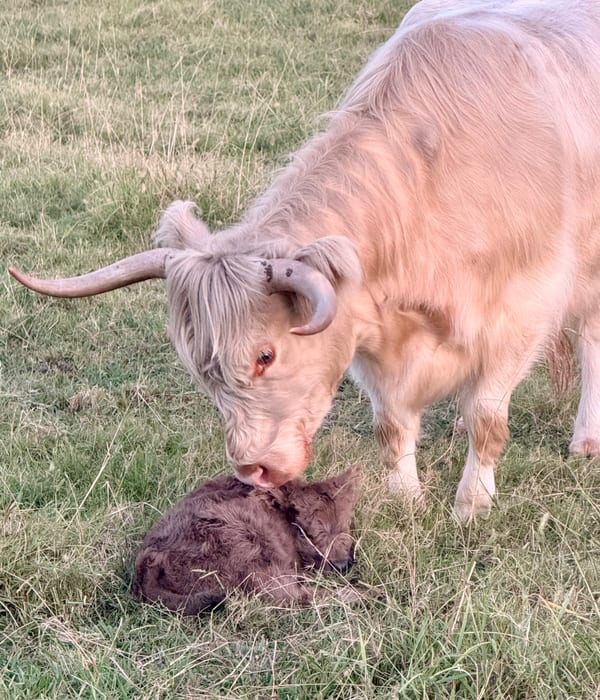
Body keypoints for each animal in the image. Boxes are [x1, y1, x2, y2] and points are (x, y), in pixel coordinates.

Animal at [9, 0, 600, 523]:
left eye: (265, 355)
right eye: (201, 367)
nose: (254, 470)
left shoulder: (522, 314)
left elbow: (488, 417)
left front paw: (471, 506)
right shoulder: (369, 333)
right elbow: (393, 424)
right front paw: (407, 500)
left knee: (590, 343)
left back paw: (585, 440)